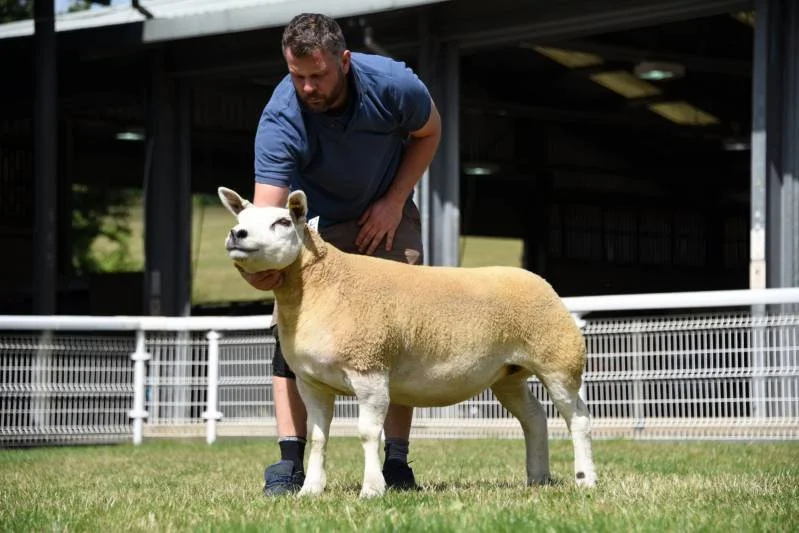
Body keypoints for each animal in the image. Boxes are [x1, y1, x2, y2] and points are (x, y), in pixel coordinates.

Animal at [218, 186, 597, 498]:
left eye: (282, 221)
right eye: (240, 219)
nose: (236, 234)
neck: (324, 285)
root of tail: (538, 280)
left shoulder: (370, 369)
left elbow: (369, 433)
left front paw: (372, 490)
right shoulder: (311, 382)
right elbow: (319, 436)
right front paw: (310, 491)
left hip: (557, 359)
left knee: (578, 418)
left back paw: (585, 479)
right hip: (509, 374)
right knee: (534, 417)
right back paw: (538, 477)